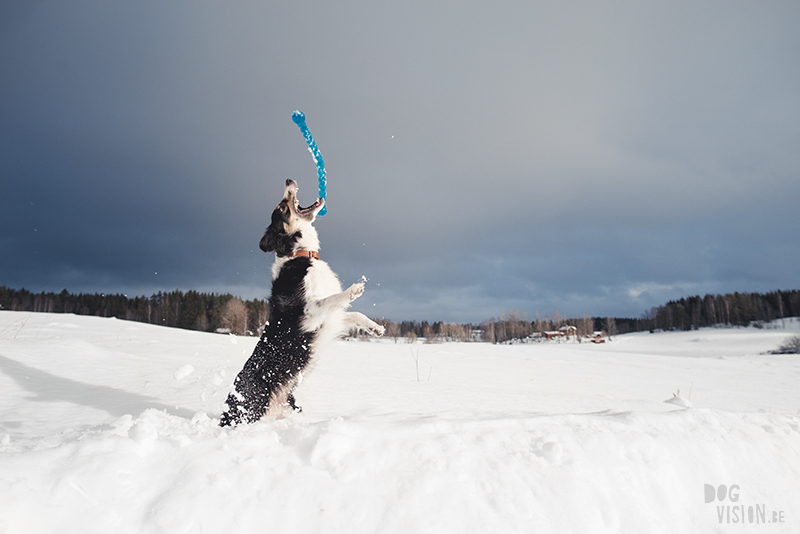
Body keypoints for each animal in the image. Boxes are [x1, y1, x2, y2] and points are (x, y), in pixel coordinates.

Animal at [217, 180, 382, 428]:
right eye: (281, 207)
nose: (288, 181)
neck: (301, 254)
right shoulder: (308, 316)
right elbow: (332, 298)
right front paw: (353, 290)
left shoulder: (330, 318)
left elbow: (356, 315)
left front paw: (376, 328)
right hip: (252, 411)